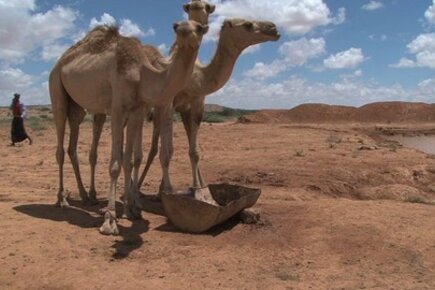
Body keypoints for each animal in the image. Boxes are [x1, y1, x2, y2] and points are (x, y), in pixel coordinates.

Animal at [49, 20, 209, 234]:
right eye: (176, 27)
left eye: (199, 27)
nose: (184, 32)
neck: (141, 73)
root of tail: (60, 62)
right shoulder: (118, 108)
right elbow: (115, 164)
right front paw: (110, 221)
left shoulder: (136, 110)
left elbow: (130, 159)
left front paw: (131, 210)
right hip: (56, 86)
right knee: (59, 146)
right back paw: (62, 199)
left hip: (76, 107)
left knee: (72, 144)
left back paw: (85, 196)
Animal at [140, 18, 282, 190]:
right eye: (248, 24)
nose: (273, 28)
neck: (196, 78)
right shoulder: (169, 103)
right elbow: (167, 152)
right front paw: (167, 189)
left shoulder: (197, 104)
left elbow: (194, 152)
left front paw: (198, 187)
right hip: (151, 109)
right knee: (152, 147)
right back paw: (140, 187)